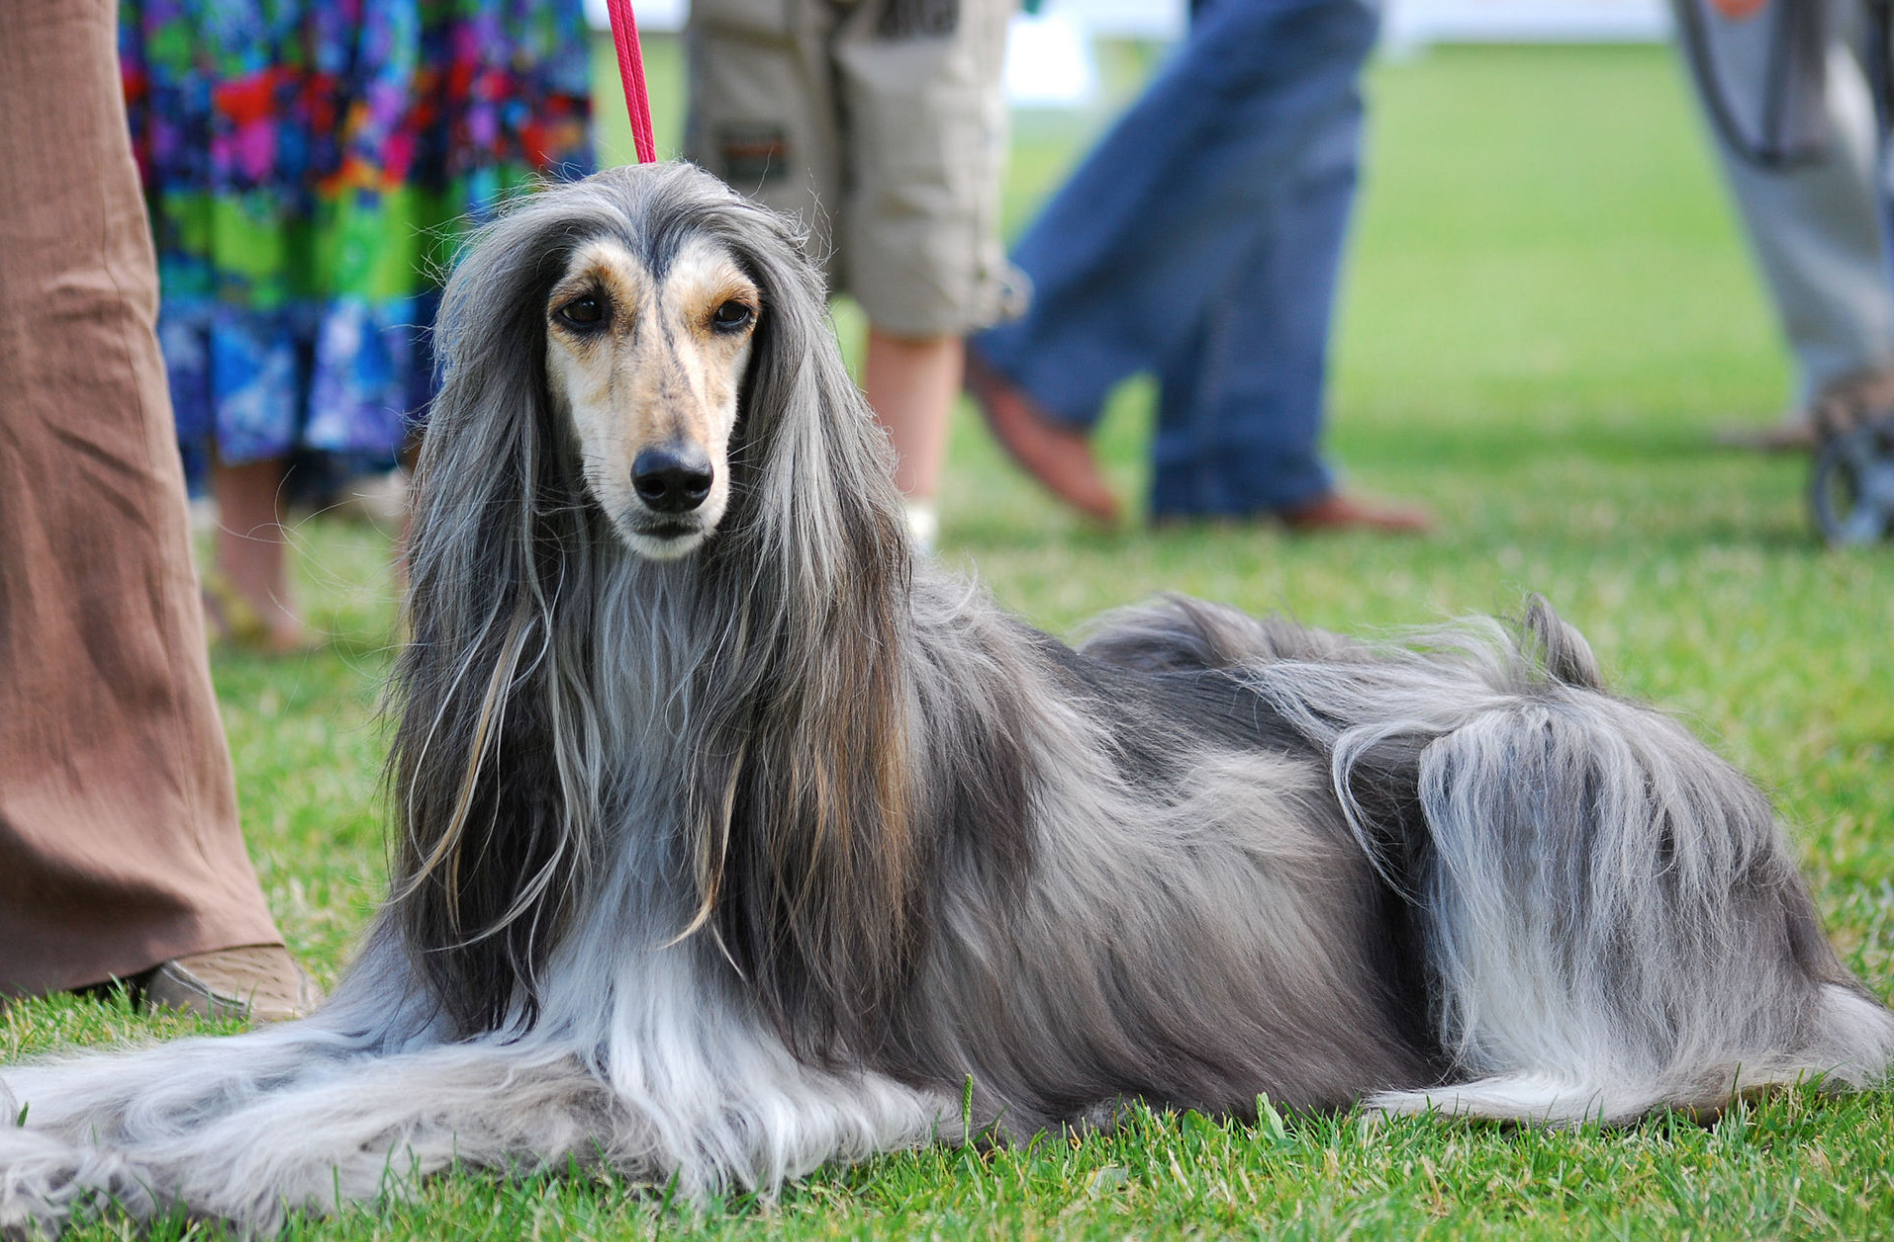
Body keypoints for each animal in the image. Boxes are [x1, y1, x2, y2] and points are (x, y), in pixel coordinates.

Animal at [3, 162, 1894, 1234]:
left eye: (733, 313)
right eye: (582, 306)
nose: (677, 482)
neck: (657, 685)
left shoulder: (740, 1079)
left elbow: (371, 1106)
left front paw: (196, 1168)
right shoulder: (429, 1000)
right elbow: (182, 1067)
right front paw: (69, 1139)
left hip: (1533, 762)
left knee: (1662, 1049)